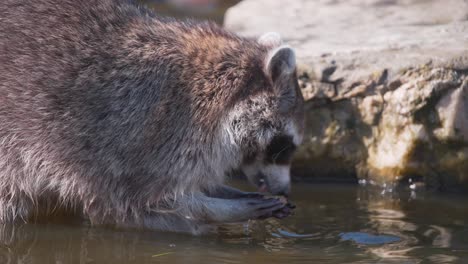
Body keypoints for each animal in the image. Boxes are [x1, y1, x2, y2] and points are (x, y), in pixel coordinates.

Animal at [0, 0, 304, 234]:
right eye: (284, 145)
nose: (285, 189)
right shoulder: (147, 138)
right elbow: (134, 205)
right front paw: (222, 210)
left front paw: (225, 192)